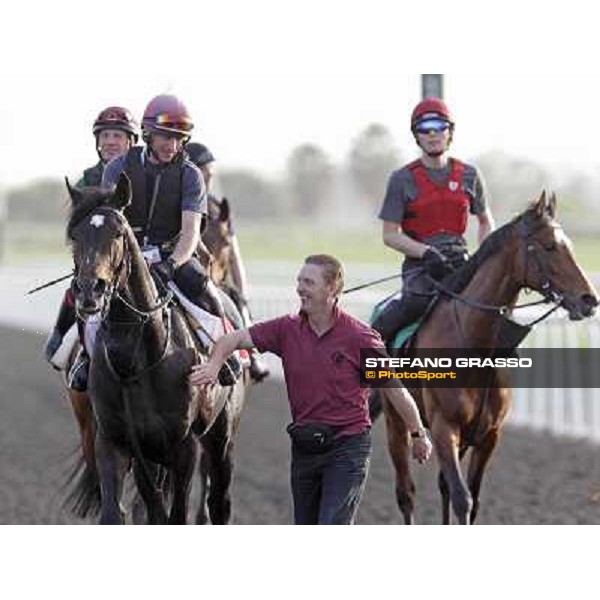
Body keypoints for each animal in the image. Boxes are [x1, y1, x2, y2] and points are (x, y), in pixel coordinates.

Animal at [64, 173, 245, 524]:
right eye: (75, 235)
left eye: (118, 233)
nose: (90, 290)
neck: (134, 362)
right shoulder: (116, 441)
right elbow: (118, 512)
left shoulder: (184, 446)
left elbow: (177, 514)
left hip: (221, 437)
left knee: (220, 500)